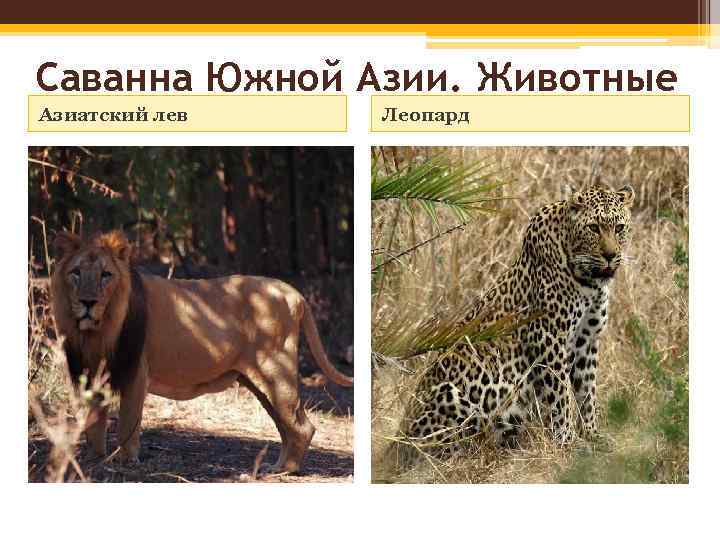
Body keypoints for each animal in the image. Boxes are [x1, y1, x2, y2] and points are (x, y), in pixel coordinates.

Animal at [50, 229, 353, 474]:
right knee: (288, 427)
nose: (88, 302)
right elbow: (93, 424)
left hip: (276, 374)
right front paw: (93, 460)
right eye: (76, 273)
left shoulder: (136, 372)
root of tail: (293, 292)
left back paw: (282, 471)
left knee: (303, 427)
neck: (96, 333)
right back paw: (279, 466)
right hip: (258, 382)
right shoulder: (89, 373)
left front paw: (125, 461)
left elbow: (127, 423)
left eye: (106, 275)